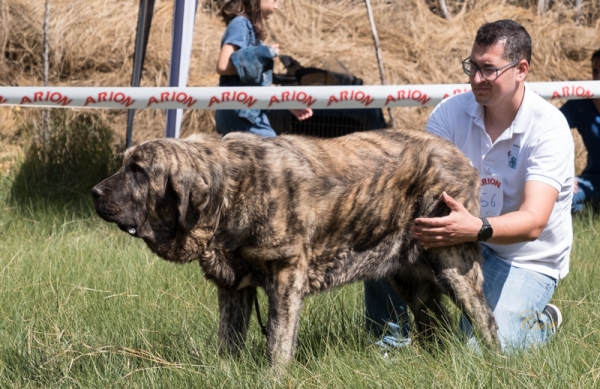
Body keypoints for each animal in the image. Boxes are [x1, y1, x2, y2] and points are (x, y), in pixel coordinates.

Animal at [91, 129, 500, 362]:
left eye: (138, 171)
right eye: (124, 164)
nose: (94, 192)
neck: (229, 192)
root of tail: (461, 156)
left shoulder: (286, 279)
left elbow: (278, 341)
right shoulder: (233, 287)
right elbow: (229, 341)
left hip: (453, 263)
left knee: (486, 320)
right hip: (411, 280)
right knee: (435, 326)